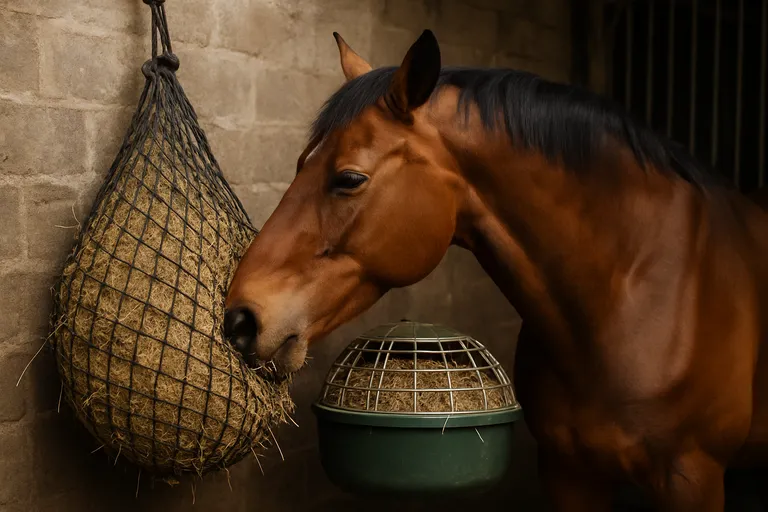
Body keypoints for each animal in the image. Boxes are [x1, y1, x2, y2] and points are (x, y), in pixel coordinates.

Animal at [223, 29, 768, 511]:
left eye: (349, 178)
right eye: (300, 163)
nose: (239, 319)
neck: (632, 288)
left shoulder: (692, 478)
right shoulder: (570, 473)